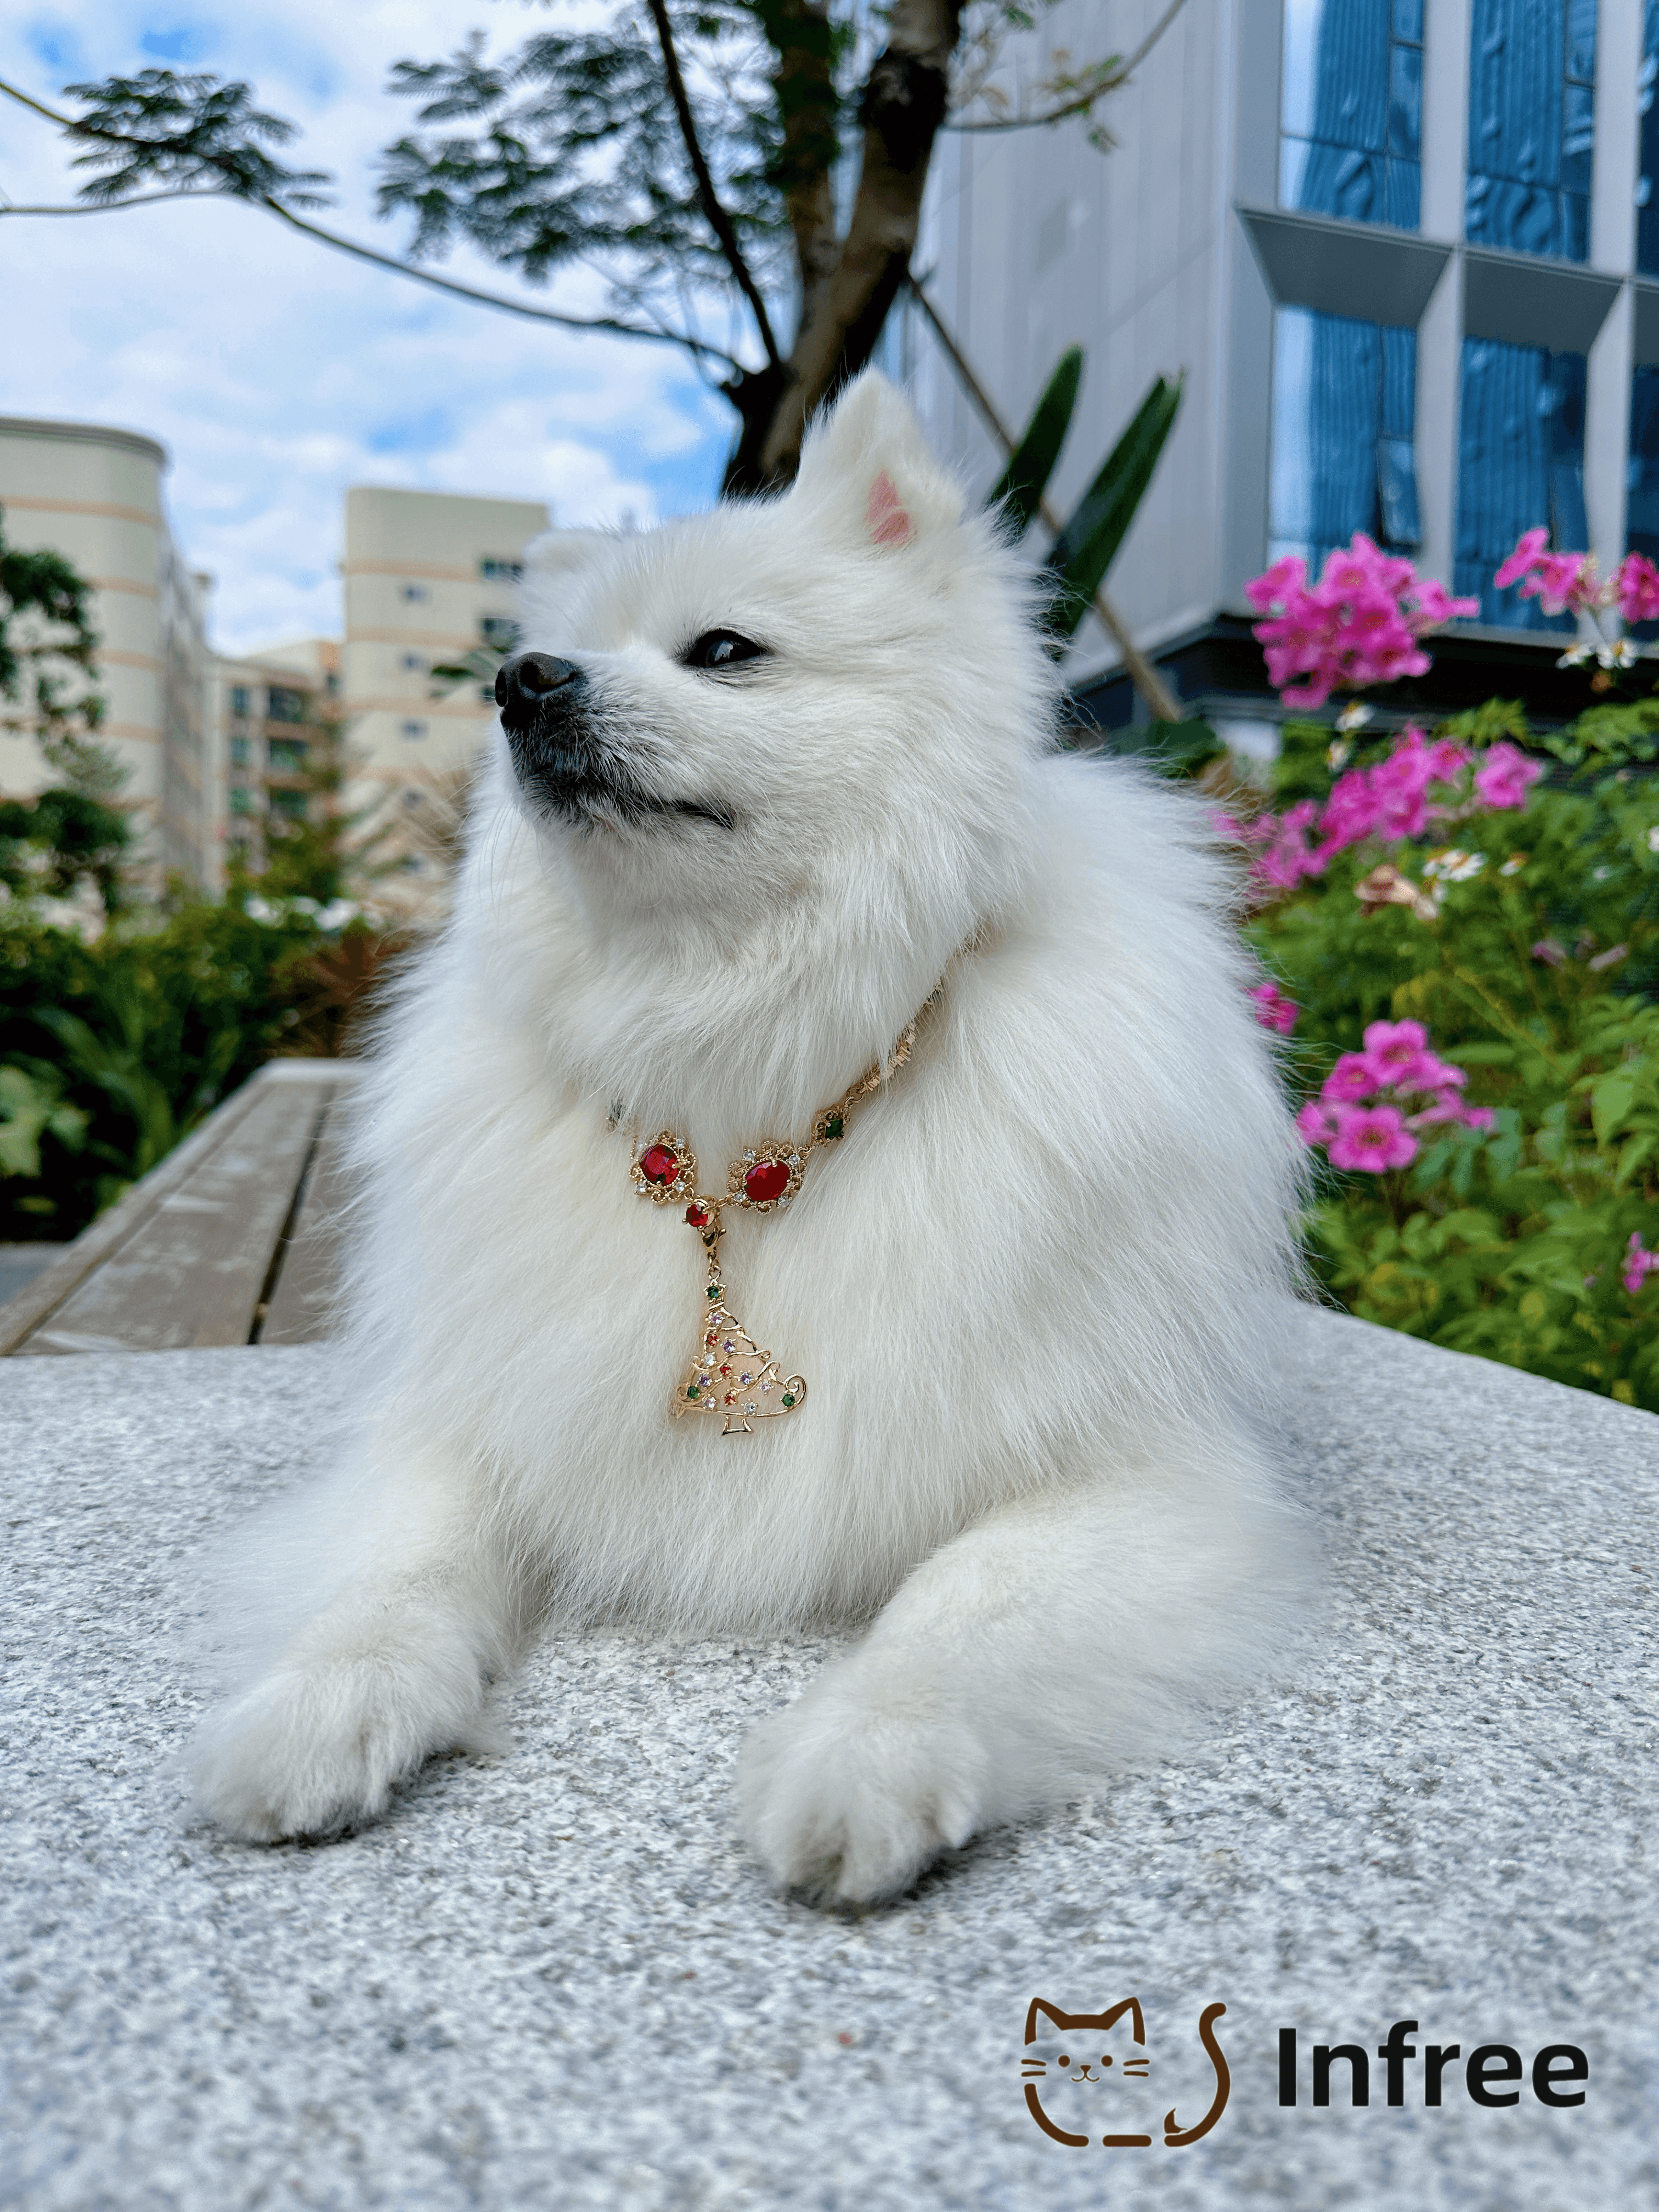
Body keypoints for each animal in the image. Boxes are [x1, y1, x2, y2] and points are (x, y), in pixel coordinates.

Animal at [191, 371, 1309, 1893]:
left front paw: (869, 1750)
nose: (522, 681)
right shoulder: (478, 1420)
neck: (742, 1064)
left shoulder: (1137, 1475)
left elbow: (966, 1600)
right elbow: (402, 1566)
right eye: (540, 659)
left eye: (725, 651)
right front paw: (321, 1700)